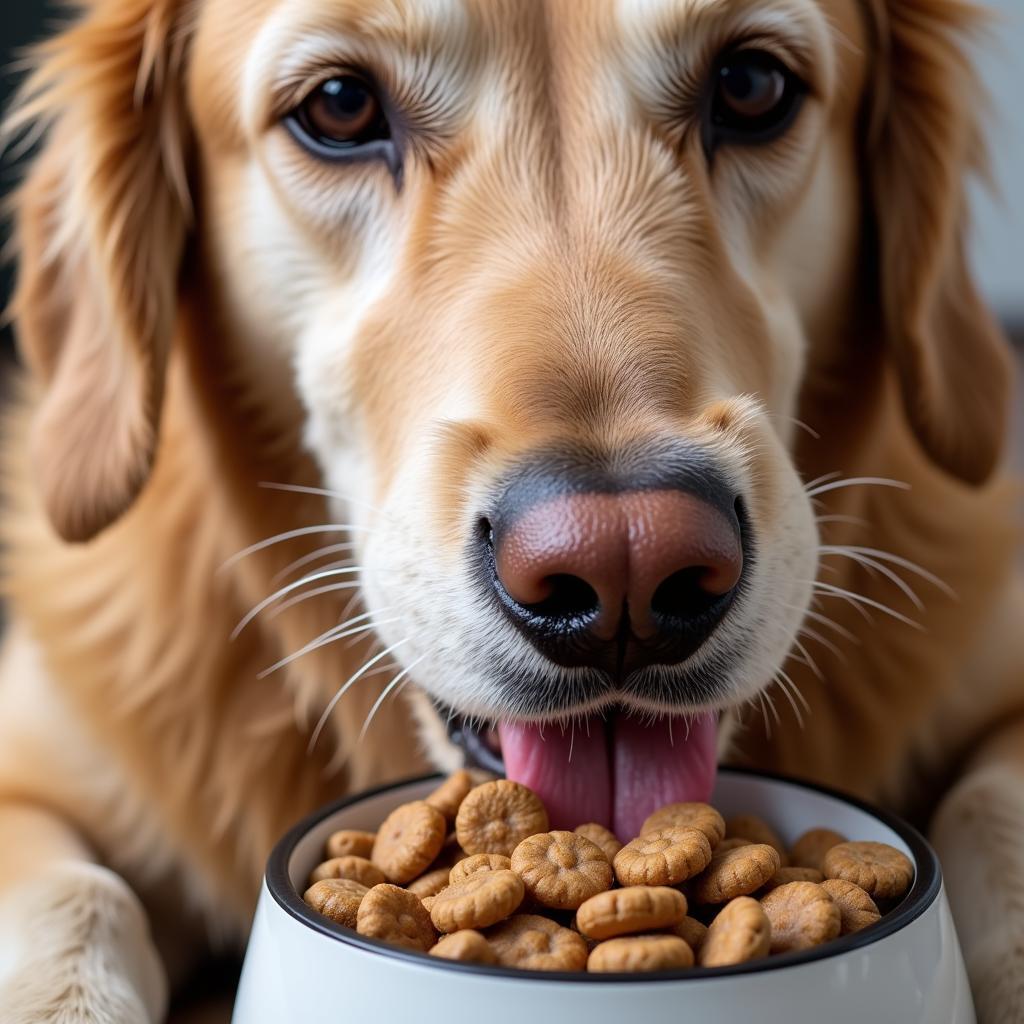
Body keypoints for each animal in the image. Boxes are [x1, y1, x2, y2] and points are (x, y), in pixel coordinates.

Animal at [0, 0, 1019, 1019]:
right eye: (339, 106)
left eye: (750, 86)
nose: (626, 565)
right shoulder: (38, 769)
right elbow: (77, 898)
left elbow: (991, 810)